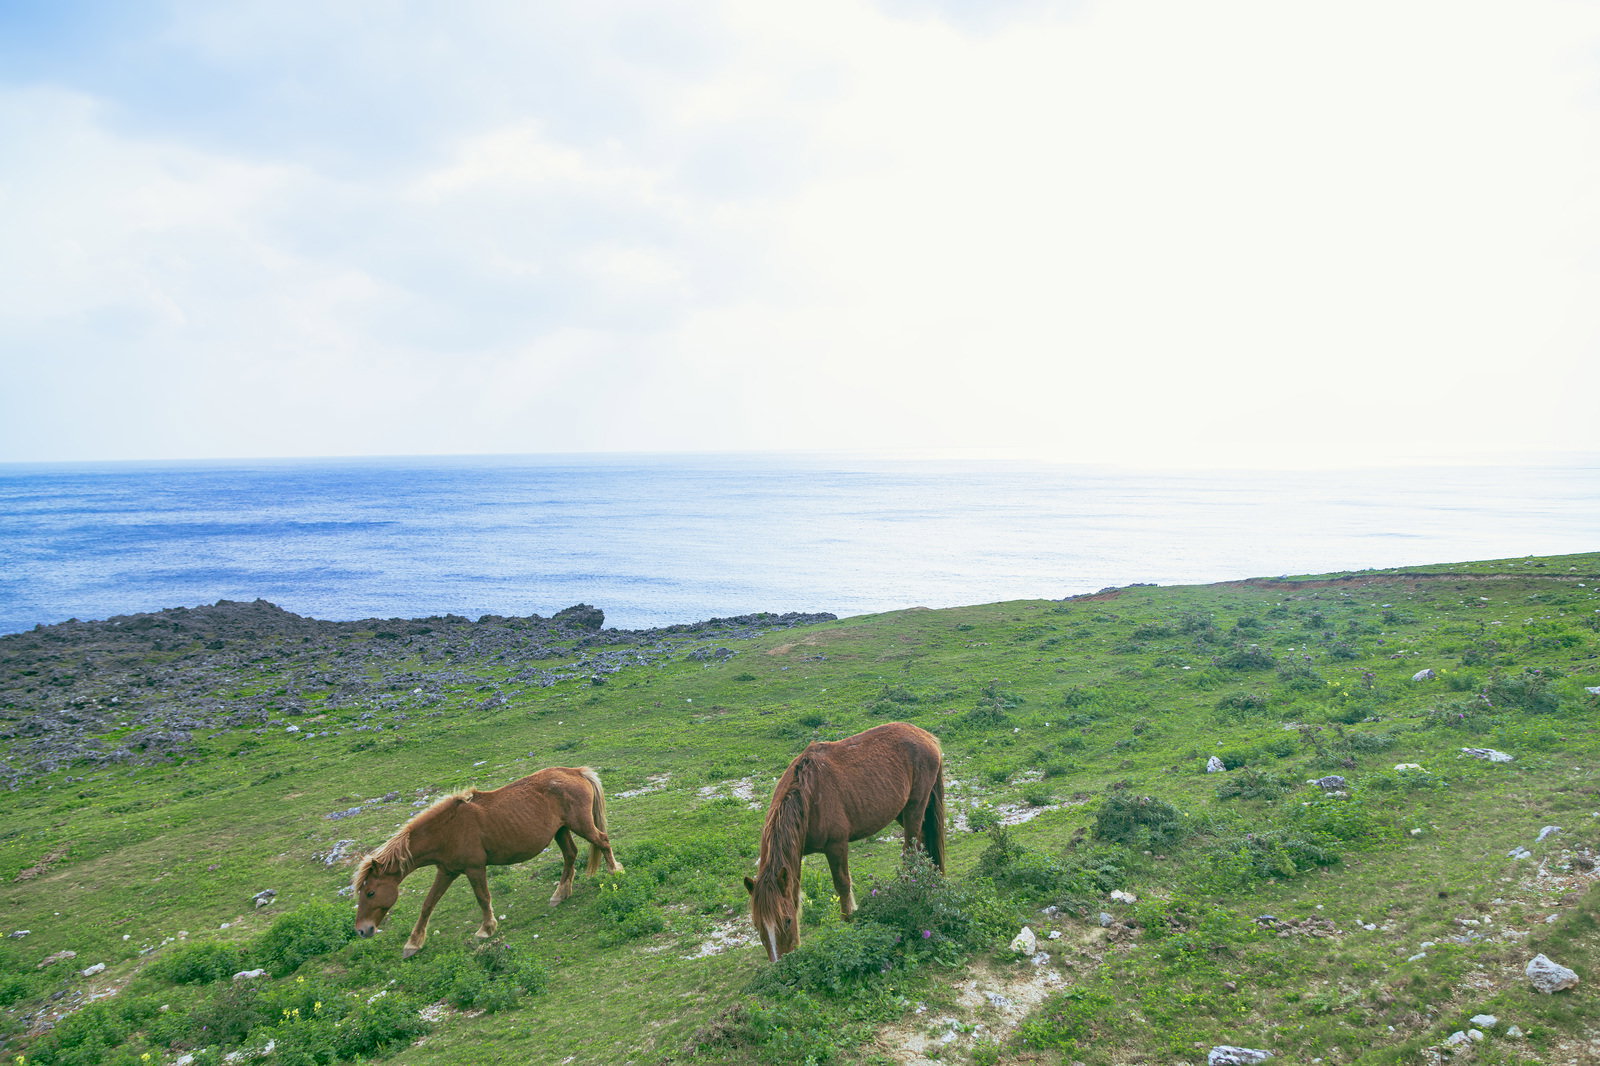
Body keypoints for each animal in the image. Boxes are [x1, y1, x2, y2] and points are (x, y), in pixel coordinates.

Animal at [352, 765, 622, 957]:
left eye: (371, 892)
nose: (362, 930)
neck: (448, 829)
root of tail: (575, 772)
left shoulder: (474, 868)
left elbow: (482, 898)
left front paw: (487, 929)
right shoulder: (447, 871)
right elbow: (428, 904)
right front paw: (413, 943)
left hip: (580, 825)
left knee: (602, 840)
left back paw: (614, 872)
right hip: (562, 830)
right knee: (571, 855)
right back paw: (560, 893)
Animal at [743, 721, 946, 962]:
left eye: (787, 920)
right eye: (758, 926)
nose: (781, 963)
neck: (808, 795)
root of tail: (927, 737)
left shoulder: (836, 846)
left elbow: (842, 884)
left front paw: (848, 921)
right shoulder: (795, 856)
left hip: (915, 806)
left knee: (911, 850)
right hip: (902, 811)